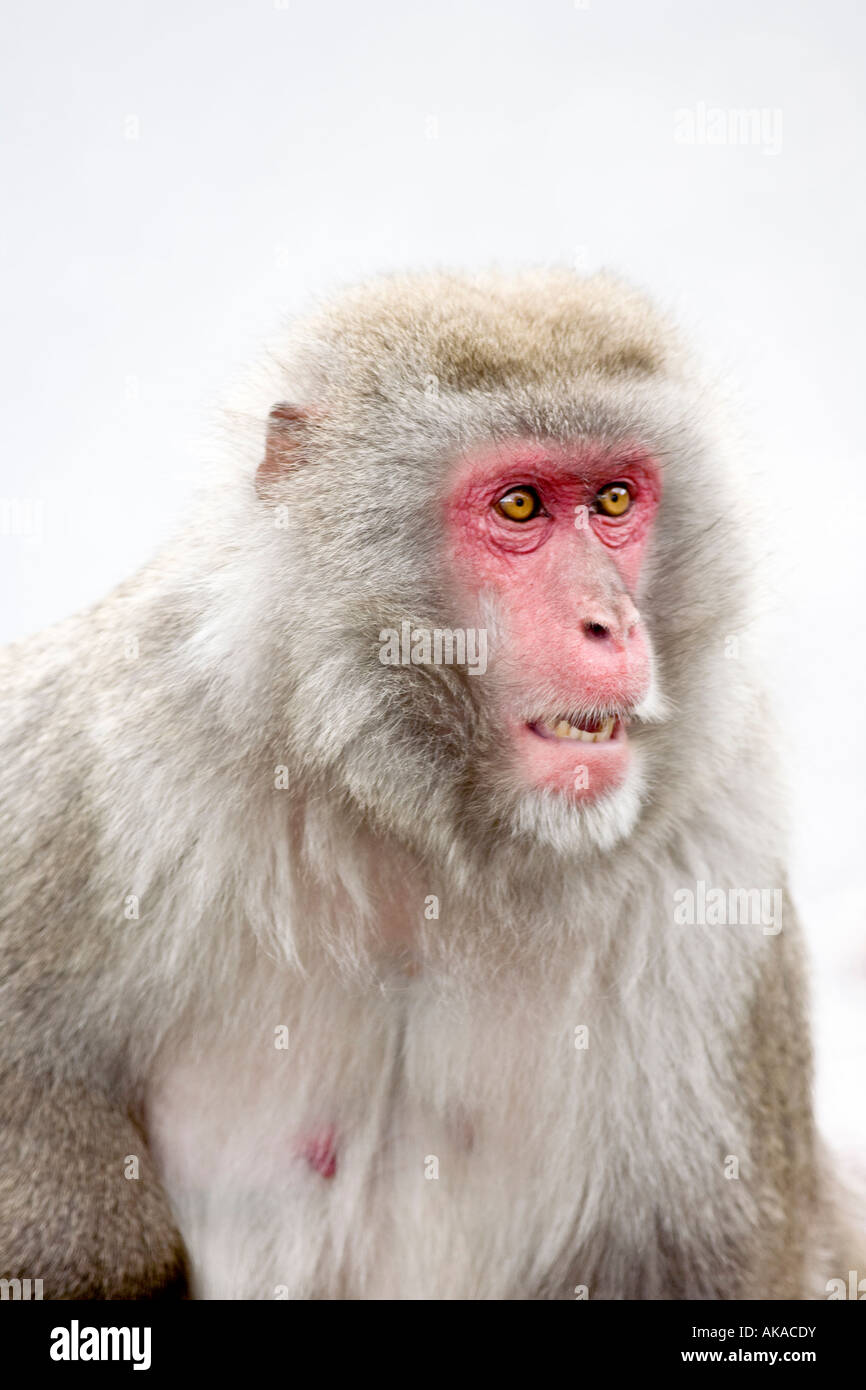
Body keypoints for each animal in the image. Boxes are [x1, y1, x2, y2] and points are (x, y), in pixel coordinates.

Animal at [0, 269, 859, 1300]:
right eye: (521, 507)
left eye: (615, 497)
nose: (611, 623)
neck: (423, 828)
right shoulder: (92, 771)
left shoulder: (716, 857)